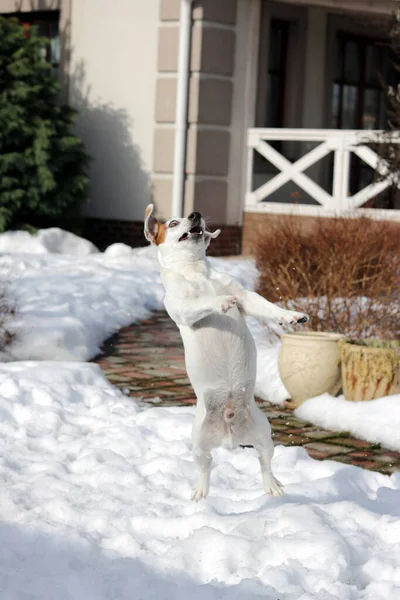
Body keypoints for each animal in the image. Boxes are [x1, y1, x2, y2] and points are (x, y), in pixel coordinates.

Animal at [145, 206, 310, 502]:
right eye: (173, 223)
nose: (195, 214)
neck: (196, 273)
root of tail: (230, 434)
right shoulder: (183, 309)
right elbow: (203, 303)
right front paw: (220, 301)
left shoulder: (247, 298)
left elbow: (267, 306)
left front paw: (291, 316)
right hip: (199, 443)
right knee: (205, 467)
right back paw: (201, 491)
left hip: (264, 435)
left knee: (264, 462)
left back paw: (272, 485)